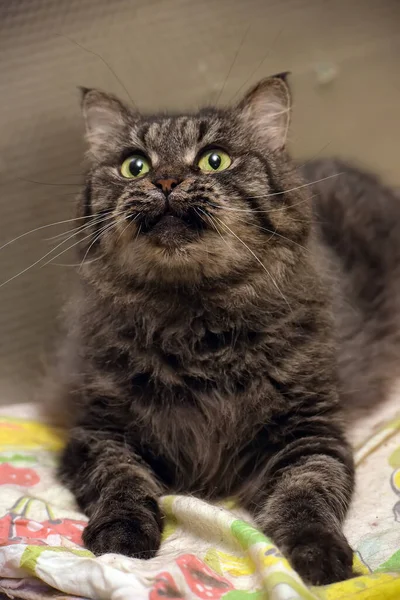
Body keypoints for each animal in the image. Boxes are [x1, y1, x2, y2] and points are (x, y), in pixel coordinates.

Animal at [50, 74, 396, 584]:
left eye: (215, 160)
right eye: (135, 166)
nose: (166, 181)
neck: (196, 324)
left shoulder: (308, 432)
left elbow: (307, 494)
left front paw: (321, 557)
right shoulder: (99, 432)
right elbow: (121, 480)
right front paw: (120, 537)